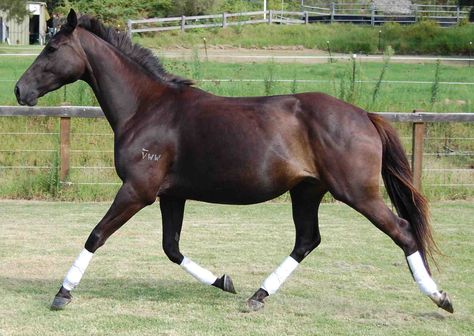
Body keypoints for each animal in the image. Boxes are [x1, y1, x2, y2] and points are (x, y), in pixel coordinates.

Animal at [13, 11, 452, 316]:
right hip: (307, 192)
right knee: (307, 241)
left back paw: (440, 297)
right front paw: (224, 281)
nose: (19, 90)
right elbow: (172, 248)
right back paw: (257, 296)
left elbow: (96, 236)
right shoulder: (171, 196)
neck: (147, 109)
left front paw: (62, 294)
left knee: (403, 231)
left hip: (357, 193)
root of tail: (364, 115)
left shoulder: (137, 191)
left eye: (51, 49)